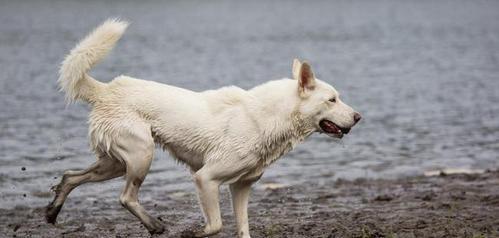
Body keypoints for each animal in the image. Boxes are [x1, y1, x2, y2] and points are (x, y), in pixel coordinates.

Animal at [45, 19, 362, 237]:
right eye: (332, 99)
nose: (359, 117)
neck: (269, 117)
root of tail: (106, 89)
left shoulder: (241, 187)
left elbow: (243, 228)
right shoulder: (206, 179)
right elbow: (215, 225)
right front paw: (194, 232)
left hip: (116, 162)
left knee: (70, 176)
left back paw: (52, 211)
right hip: (141, 154)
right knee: (125, 197)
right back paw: (155, 225)